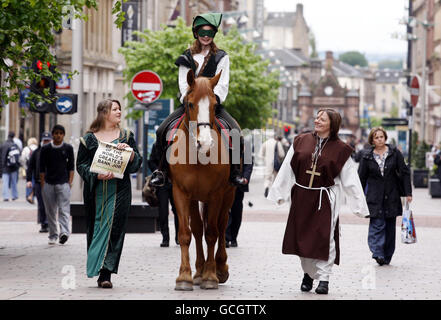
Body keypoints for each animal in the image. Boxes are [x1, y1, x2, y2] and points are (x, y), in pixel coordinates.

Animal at [168, 69, 235, 290]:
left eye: (214, 104)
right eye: (190, 104)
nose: (204, 142)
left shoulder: (216, 194)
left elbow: (212, 233)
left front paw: (210, 276)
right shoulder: (181, 192)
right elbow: (185, 233)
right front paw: (184, 276)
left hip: (228, 195)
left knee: (221, 226)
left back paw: (219, 268)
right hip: (195, 198)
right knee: (197, 230)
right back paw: (198, 271)